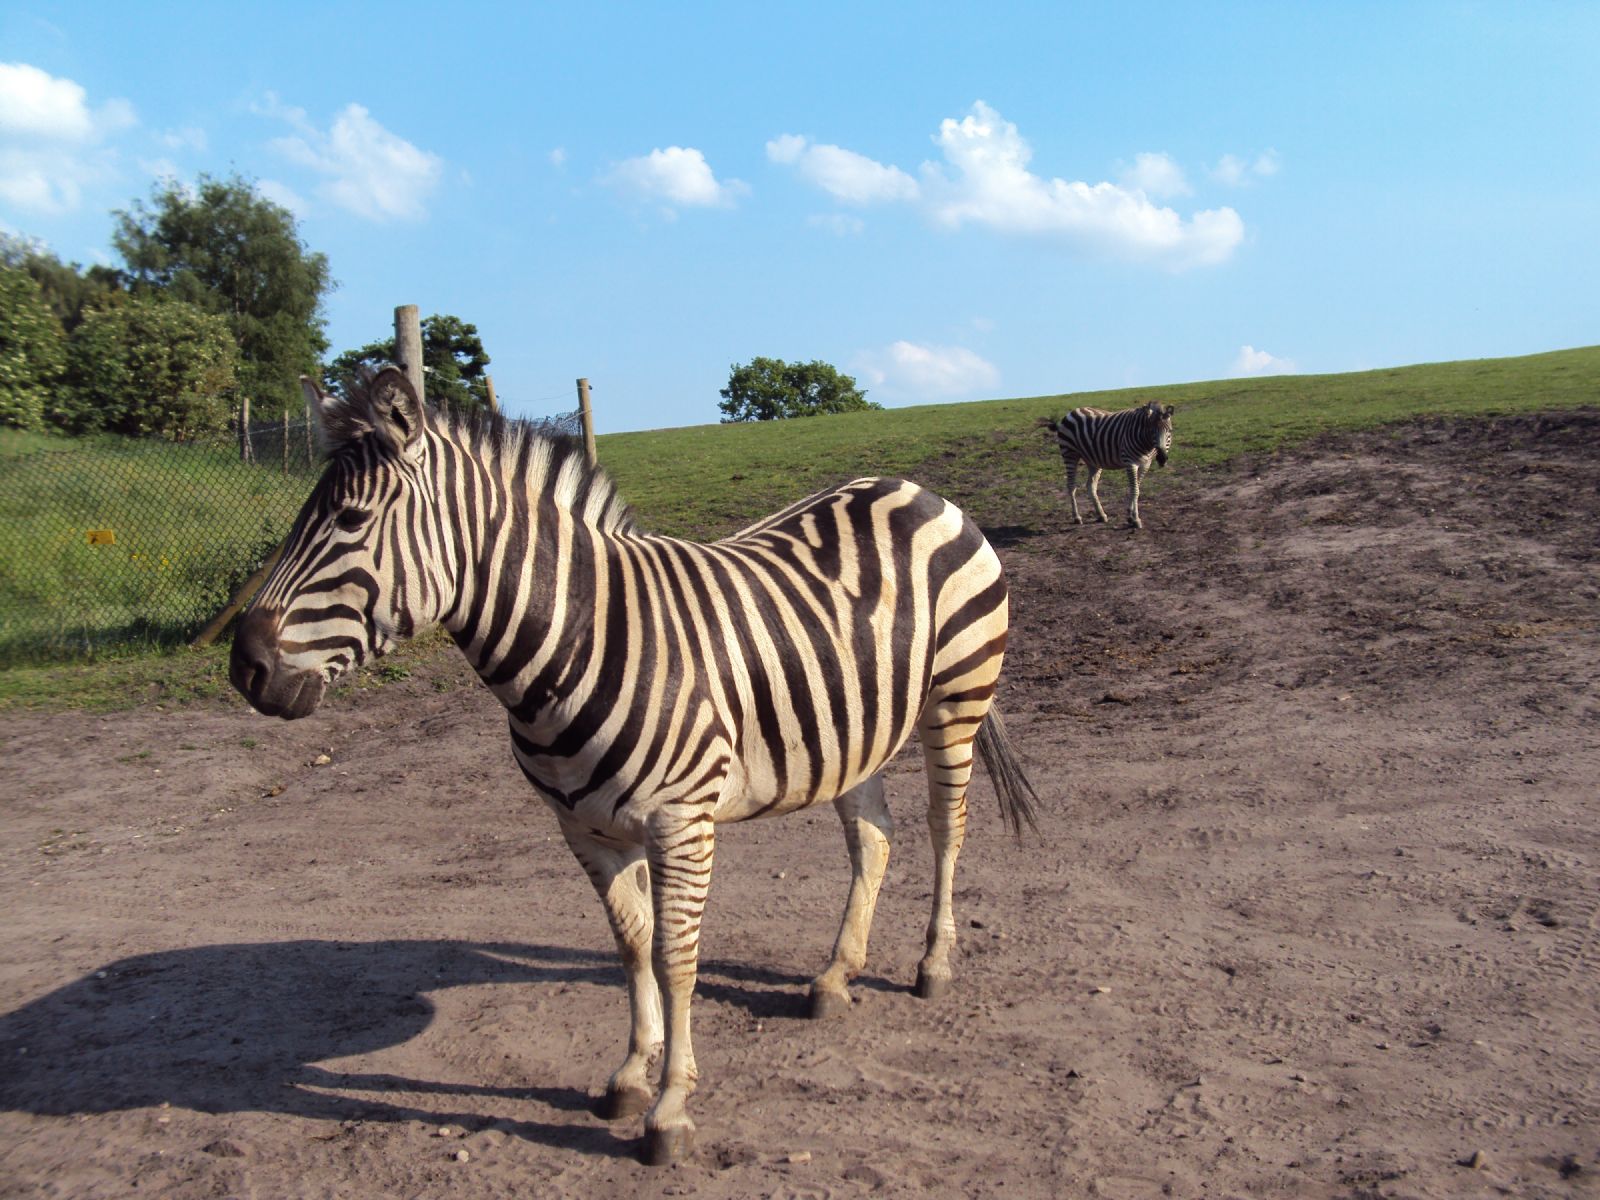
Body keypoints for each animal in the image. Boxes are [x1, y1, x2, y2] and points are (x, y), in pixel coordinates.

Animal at [232, 369, 1043, 1164]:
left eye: (349, 522)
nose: (246, 669)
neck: (574, 639)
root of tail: (913, 487)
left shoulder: (681, 821)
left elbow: (676, 954)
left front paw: (671, 1110)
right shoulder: (584, 828)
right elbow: (632, 945)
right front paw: (629, 1074)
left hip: (957, 696)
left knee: (947, 826)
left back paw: (934, 965)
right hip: (853, 732)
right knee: (873, 837)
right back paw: (835, 976)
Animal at [1036, 401, 1177, 528]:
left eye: (1170, 431)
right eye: (1152, 431)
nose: (1162, 458)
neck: (1146, 444)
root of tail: (1071, 412)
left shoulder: (1145, 464)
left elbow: (1137, 488)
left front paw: (1130, 515)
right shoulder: (1130, 462)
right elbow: (1135, 490)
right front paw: (1136, 519)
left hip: (1093, 460)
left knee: (1091, 486)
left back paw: (1101, 515)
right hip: (1069, 454)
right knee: (1071, 486)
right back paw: (1077, 517)